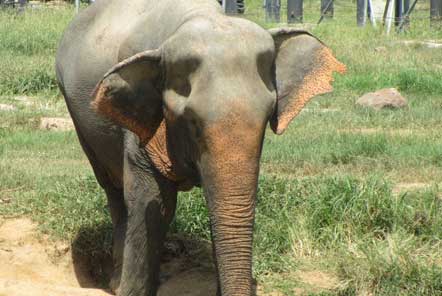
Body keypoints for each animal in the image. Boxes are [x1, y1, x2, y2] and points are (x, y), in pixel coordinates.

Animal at [55, 0, 346, 294]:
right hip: (78, 117)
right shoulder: (139, 122)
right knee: (113, 191)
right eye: (192, 122)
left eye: (266, 119)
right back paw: (115, 282)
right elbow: (152, 201)